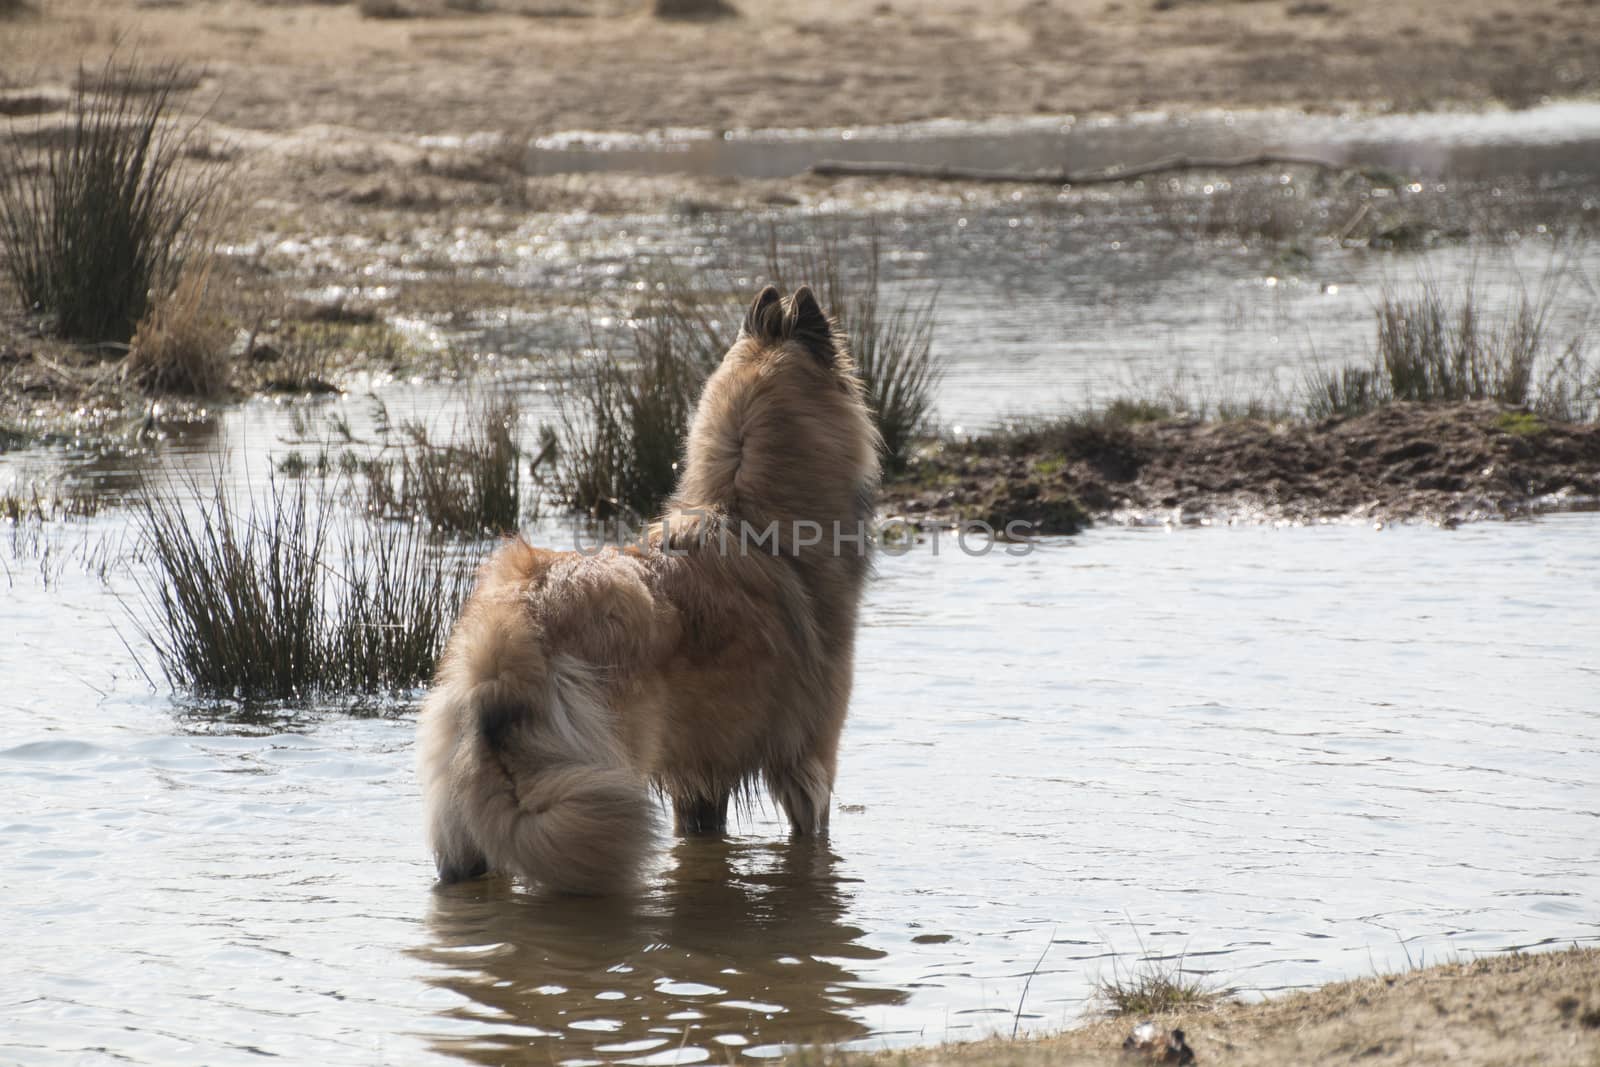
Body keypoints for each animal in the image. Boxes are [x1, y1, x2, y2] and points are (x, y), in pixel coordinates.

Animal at [419, 283, 883, 895]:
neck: (754, 519)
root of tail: (514, 628)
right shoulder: (810, 760)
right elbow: (814, 831)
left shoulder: (701, 778)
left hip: (482, 812)